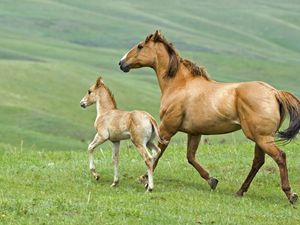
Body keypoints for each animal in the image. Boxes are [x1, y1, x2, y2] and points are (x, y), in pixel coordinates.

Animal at [118, 30, 298, 204]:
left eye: (140, 46)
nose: (121, 63)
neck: (179, 85)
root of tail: (274, 92)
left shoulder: (167, 128)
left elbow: (157, 154)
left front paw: (144, 179)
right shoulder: (194, 133)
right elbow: (190, 157)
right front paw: (212, 180)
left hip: (261, 137)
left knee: (280, 157)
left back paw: (290, 194)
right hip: (260, 138)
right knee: (258, 161)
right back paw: (240, 191)